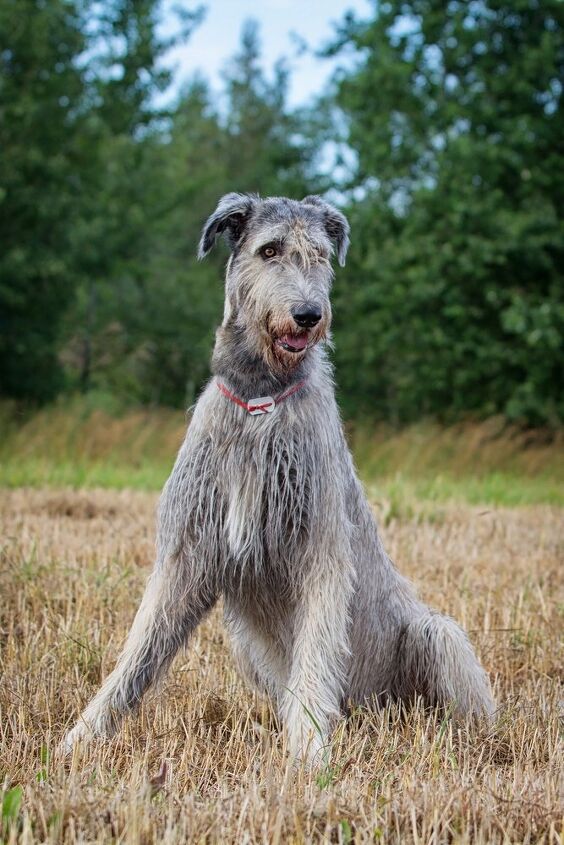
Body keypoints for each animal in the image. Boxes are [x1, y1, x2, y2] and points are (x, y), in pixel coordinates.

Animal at [64, 195, 492, 760]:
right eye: (269, 250)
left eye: (320, 254)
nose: (308, 314)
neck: (260, 398)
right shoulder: (187, 549)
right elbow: (139, 652)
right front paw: (81, 736)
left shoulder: (321, 547)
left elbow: (315, 649)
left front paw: (308, 753)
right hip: (247, 648)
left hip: (437, 636)